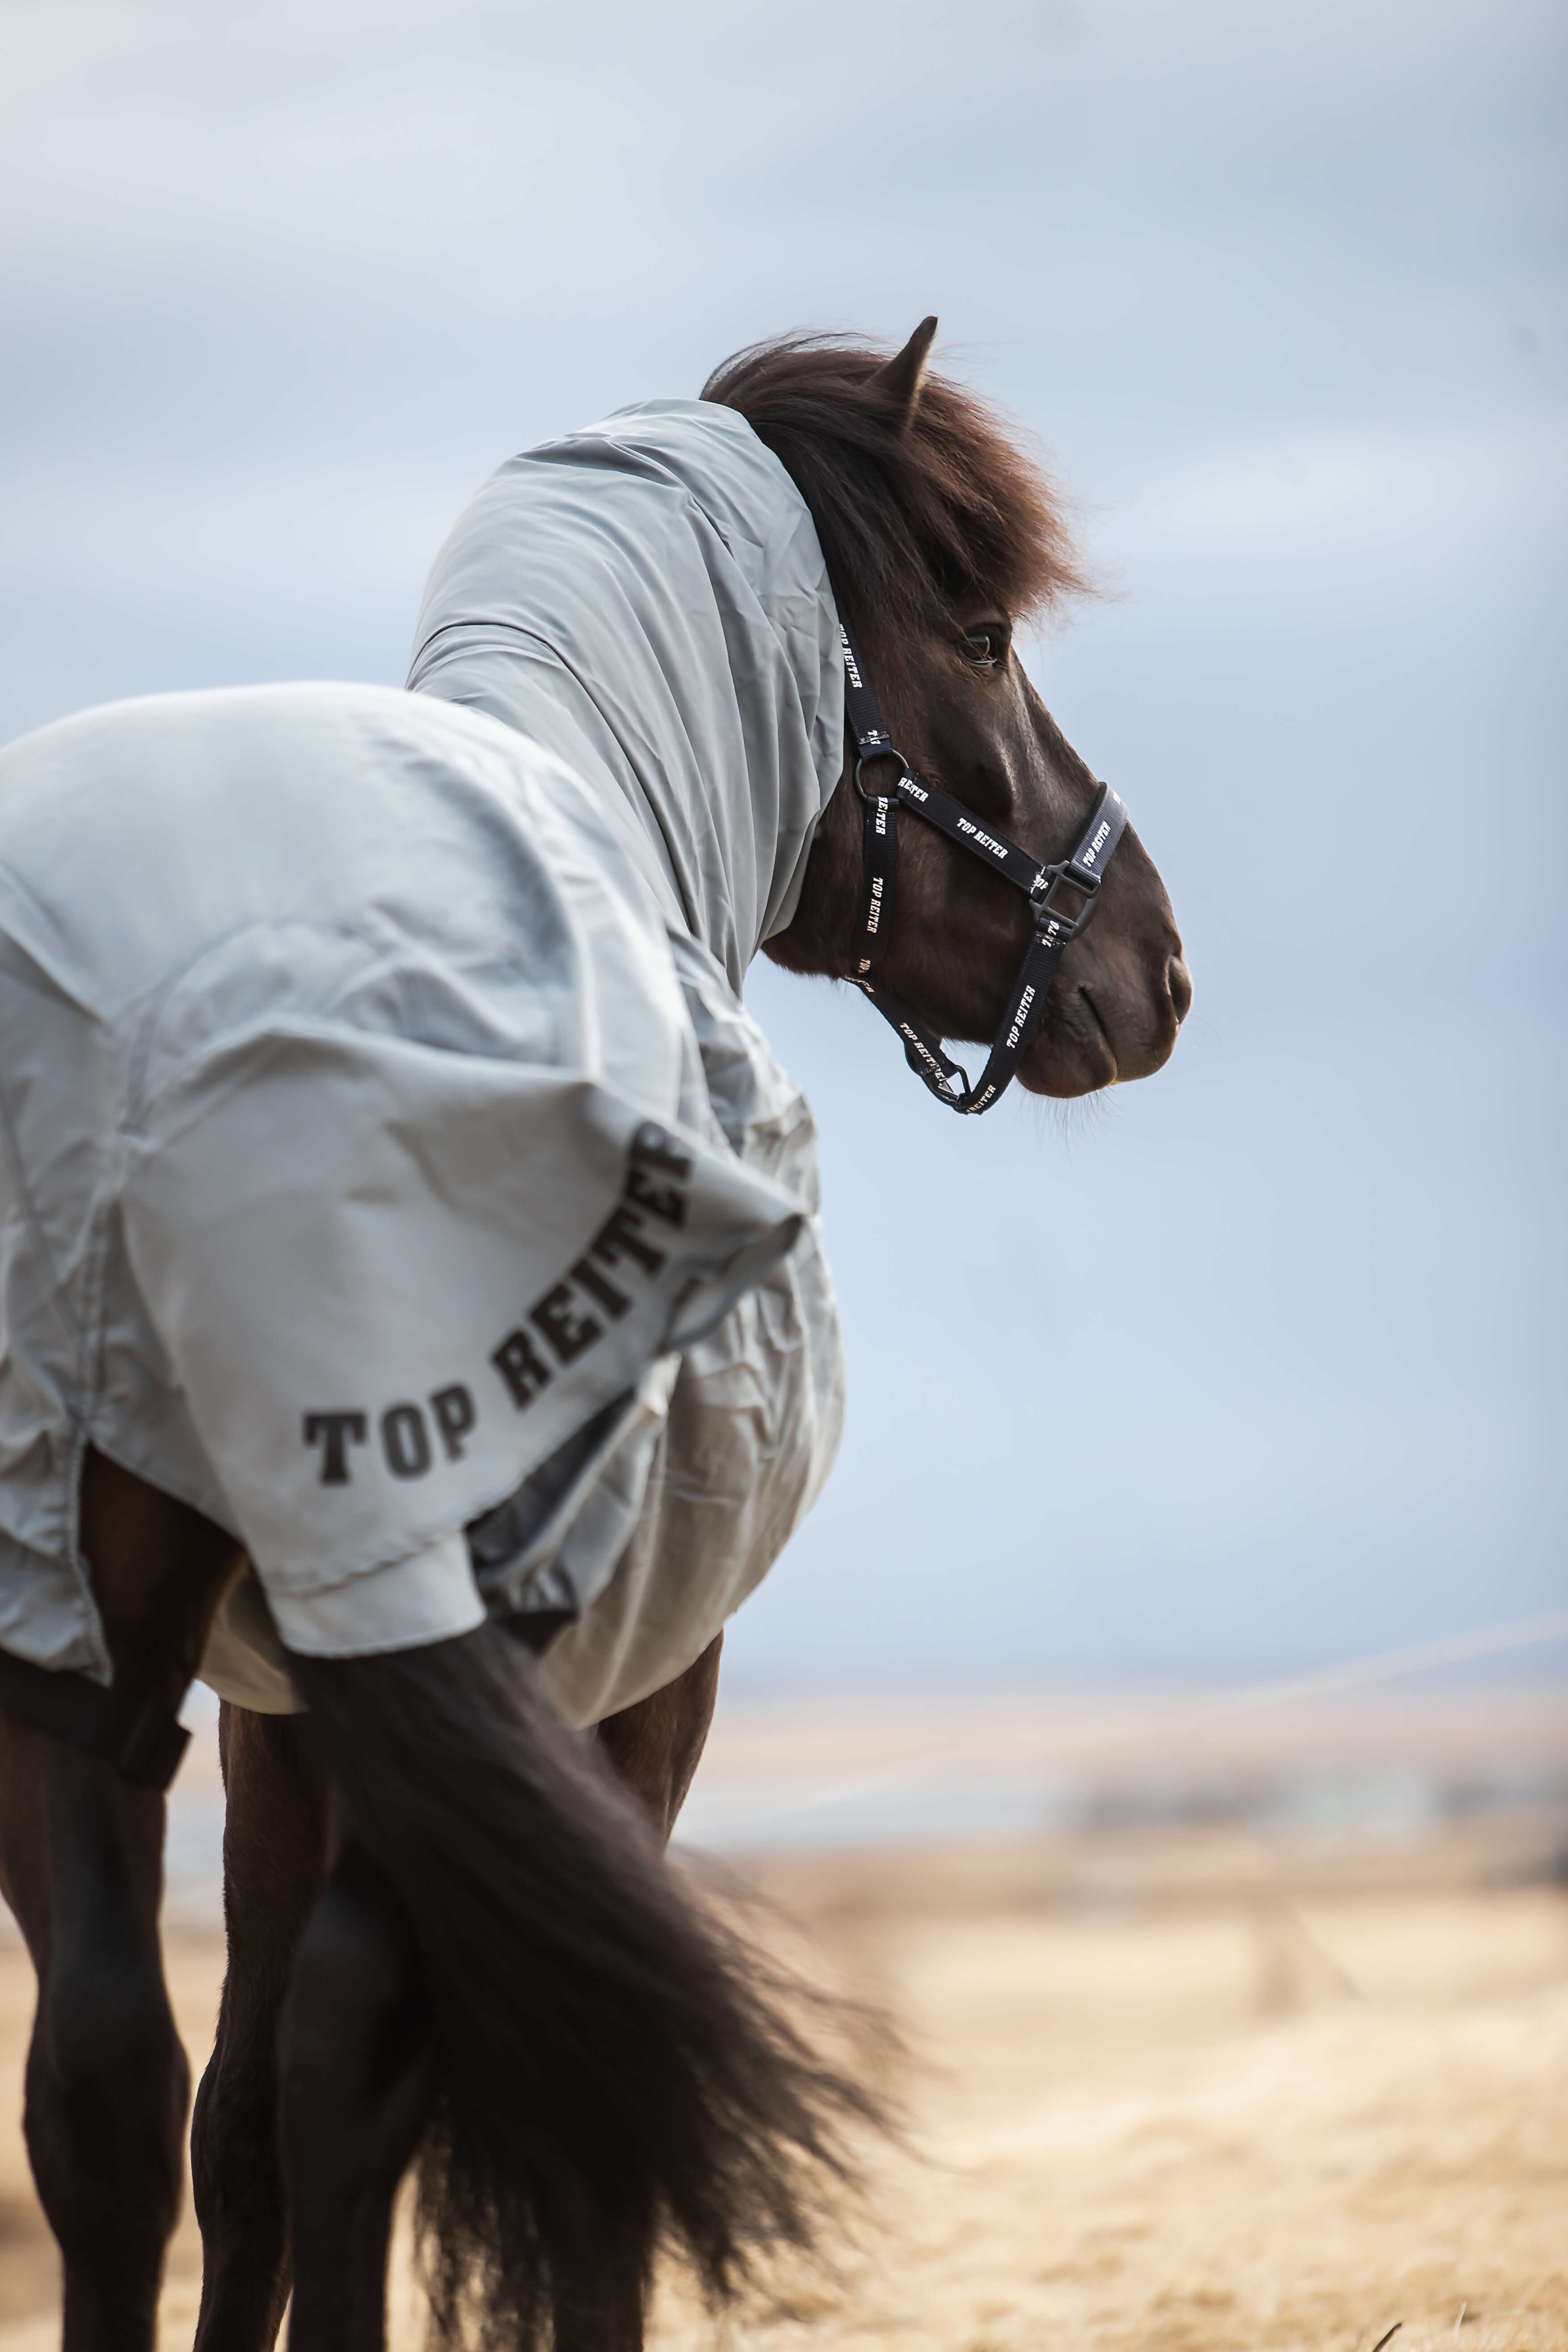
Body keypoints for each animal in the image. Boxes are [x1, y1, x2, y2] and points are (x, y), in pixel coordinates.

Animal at [0, 317, 1189, 2352]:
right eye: (977, 636)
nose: (1157, 969)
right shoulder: (638, 1698)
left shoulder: (273, 1734)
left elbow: (231, 2137)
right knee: (363, 2066)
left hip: (84, 1659)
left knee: (113, 2086)